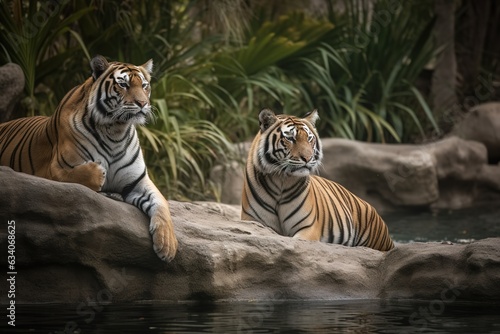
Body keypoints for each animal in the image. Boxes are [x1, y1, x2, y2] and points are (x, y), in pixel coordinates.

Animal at [0, 55, 179, 260]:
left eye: (144, 86)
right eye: (123, 84)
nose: (142, 104)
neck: (116, 131)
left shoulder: (138, 181)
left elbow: (161, 203)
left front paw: (168, 246)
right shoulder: (53, 169)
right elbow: (81, 174)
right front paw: (99, 173)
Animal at [241, 108, 394, 252]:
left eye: (309, 138)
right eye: (290, 138)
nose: (308, 158)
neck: (281, 180)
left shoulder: (308, 227)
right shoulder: (253, 221)